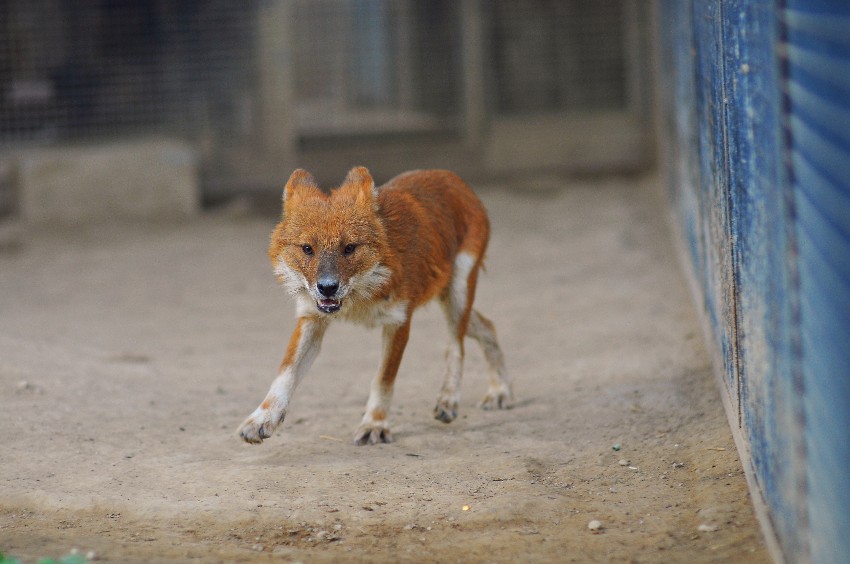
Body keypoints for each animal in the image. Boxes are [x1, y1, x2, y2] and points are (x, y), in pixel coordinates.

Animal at [235, 167, 506, 446]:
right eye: (308, 249)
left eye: (349, 248)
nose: (327, 287)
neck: (359, 298)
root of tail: (451, 176)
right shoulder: (312, 317)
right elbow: (286, 372)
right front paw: (262, 418)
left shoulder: (399, 320)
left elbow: (383, 379)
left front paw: (374, 424)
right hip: (447, 298)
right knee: (487, 326)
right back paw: (499, 391)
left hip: (457, 294)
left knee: (456, 345)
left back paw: (450, 399)